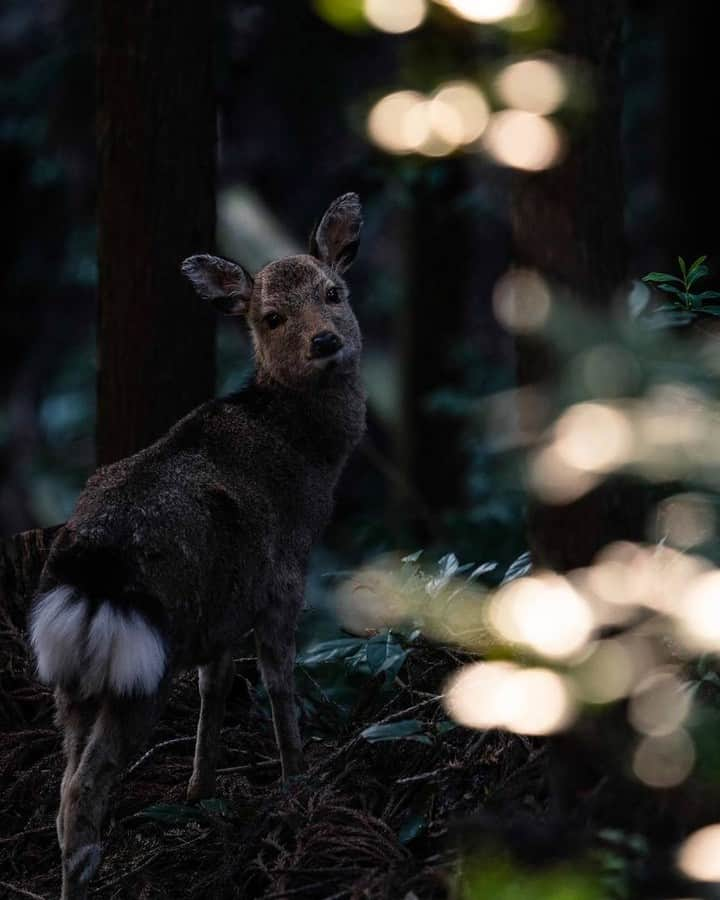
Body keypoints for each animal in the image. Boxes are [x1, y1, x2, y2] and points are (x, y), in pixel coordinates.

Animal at [28, 193, 366, 896]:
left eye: (334, 291)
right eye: (271, 317)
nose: (326, 341)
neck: (310, 461)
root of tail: (94, 576)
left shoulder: (222, 613)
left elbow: (215, 691)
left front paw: (198, 790)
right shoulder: (282, 581)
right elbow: (279, 682)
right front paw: (298, 780)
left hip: (70, 671)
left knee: (64, 781)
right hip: (141, 665)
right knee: (82, 787)